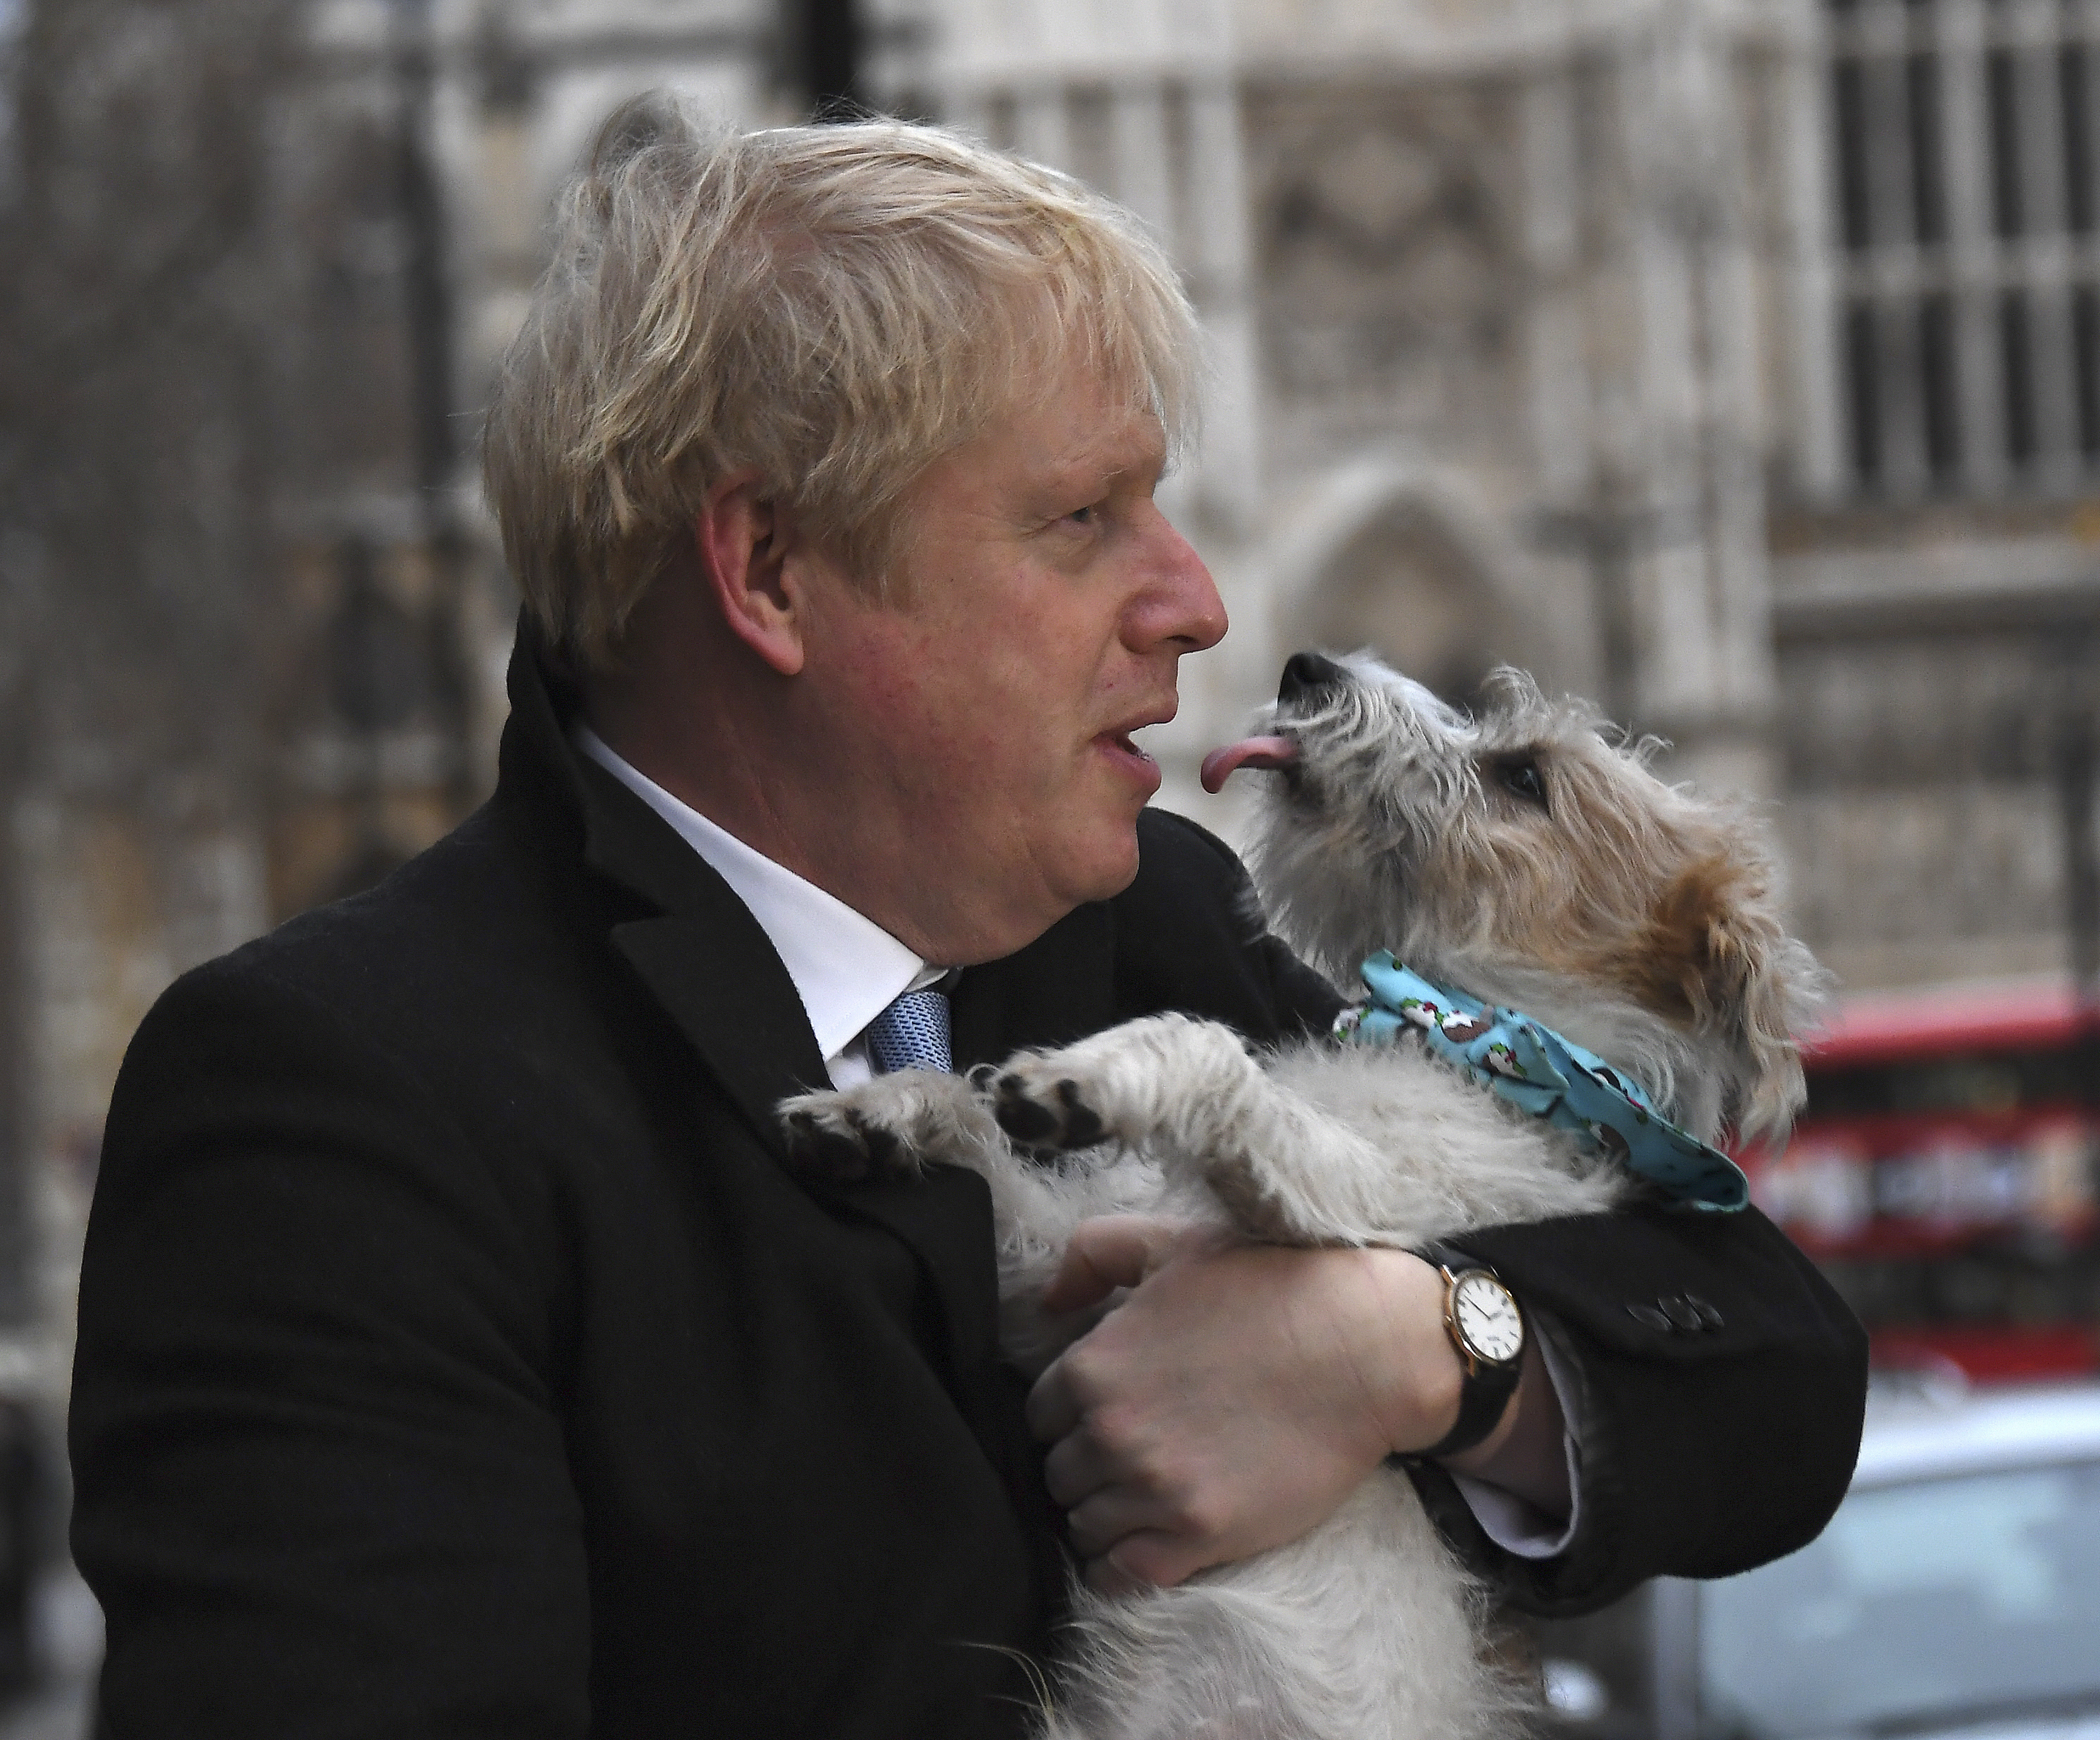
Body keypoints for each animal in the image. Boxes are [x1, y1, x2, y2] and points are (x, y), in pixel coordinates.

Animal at [781, 646, 1814, 1738]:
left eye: (1525, 777)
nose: (1308, 666)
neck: (1468, 1042)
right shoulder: (1058, 1288)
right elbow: (981, 1132)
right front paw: (883, 1110)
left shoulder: (1348, 1206)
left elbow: (1208, 1051)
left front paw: (1095, 1074)